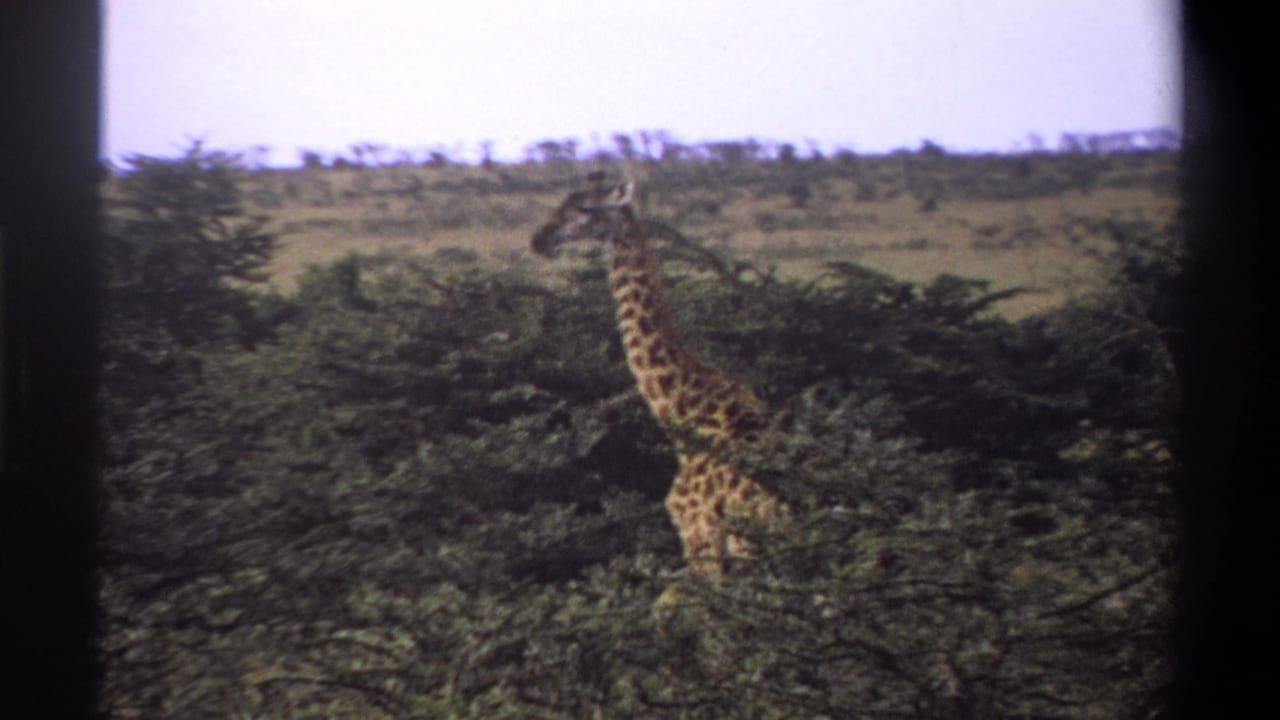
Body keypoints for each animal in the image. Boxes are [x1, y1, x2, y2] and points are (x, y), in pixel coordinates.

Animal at [532, 172, 789, 576]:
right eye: (561, 201)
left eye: (585, 208)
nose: (539, 240)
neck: (684, 413)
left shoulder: (696, 533)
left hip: (745, 548)